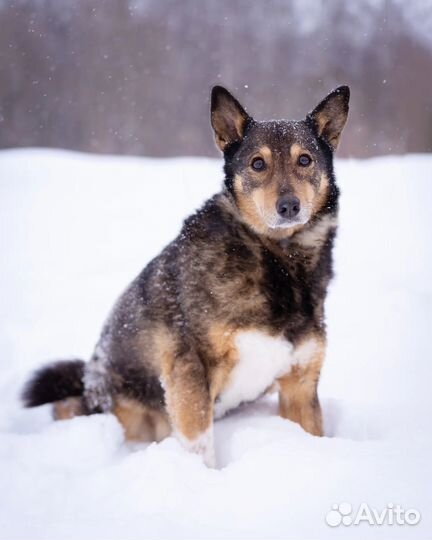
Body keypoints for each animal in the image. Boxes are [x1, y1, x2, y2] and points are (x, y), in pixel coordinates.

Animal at [22, 84, 348, 464]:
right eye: (257, 163)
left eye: (305, 160)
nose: (289, 206)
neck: (278, 259)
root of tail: (90, 374)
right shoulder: (189, 369)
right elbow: (199, 445)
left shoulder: (301, 383)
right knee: (68, 409)